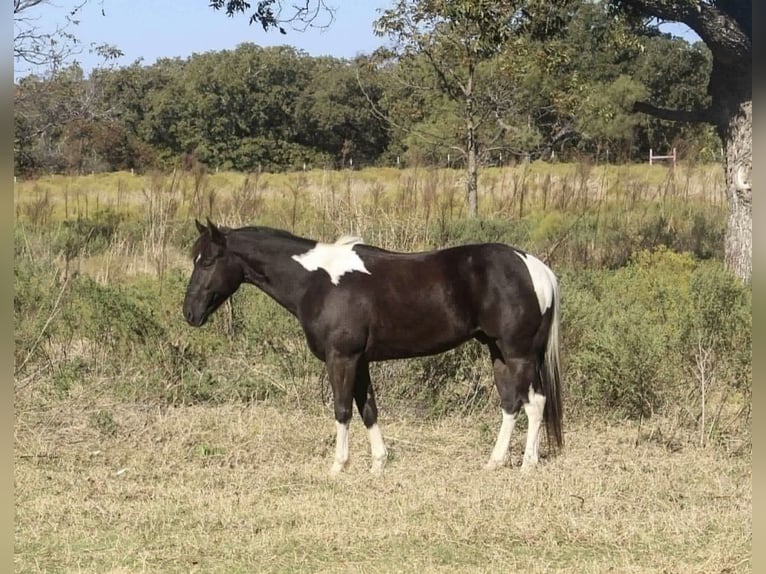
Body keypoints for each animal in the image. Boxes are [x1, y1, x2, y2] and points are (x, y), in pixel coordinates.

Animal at [183, 219, 563, 475]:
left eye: (207, 261)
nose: (189, 313)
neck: (316, 280)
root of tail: (534, 266)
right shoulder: (360, 361)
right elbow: (368, 408)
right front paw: (378, 463)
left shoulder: (341, 358)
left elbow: (342, 409)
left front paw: (338, 466)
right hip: (498, 352)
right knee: (516, 403)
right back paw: (501, 461)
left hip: (517, 353)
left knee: (530, 403)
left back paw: (523, 464)